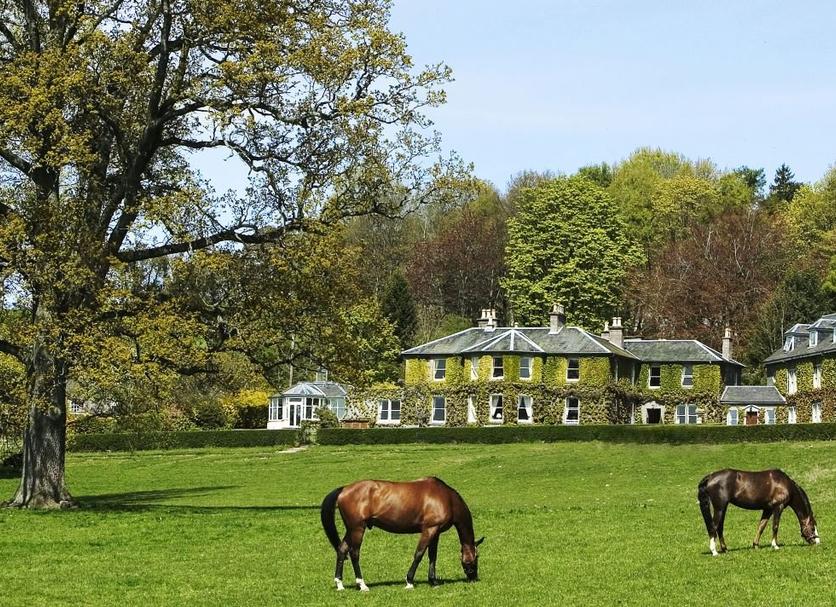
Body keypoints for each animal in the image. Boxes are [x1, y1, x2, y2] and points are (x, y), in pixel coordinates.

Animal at [320, 478, 484, 592]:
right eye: (477, 557)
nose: (473, 577)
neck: (447, 498)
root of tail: (344, 489)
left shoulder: (435, 532)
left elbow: (432, 556)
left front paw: (433, 581)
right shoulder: (429, 530)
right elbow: (419, 554)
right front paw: (409, 582)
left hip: (351, 529)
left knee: (342, 549)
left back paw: (340, 584)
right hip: (357, 529)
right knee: (354, 553)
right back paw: (362, 584)